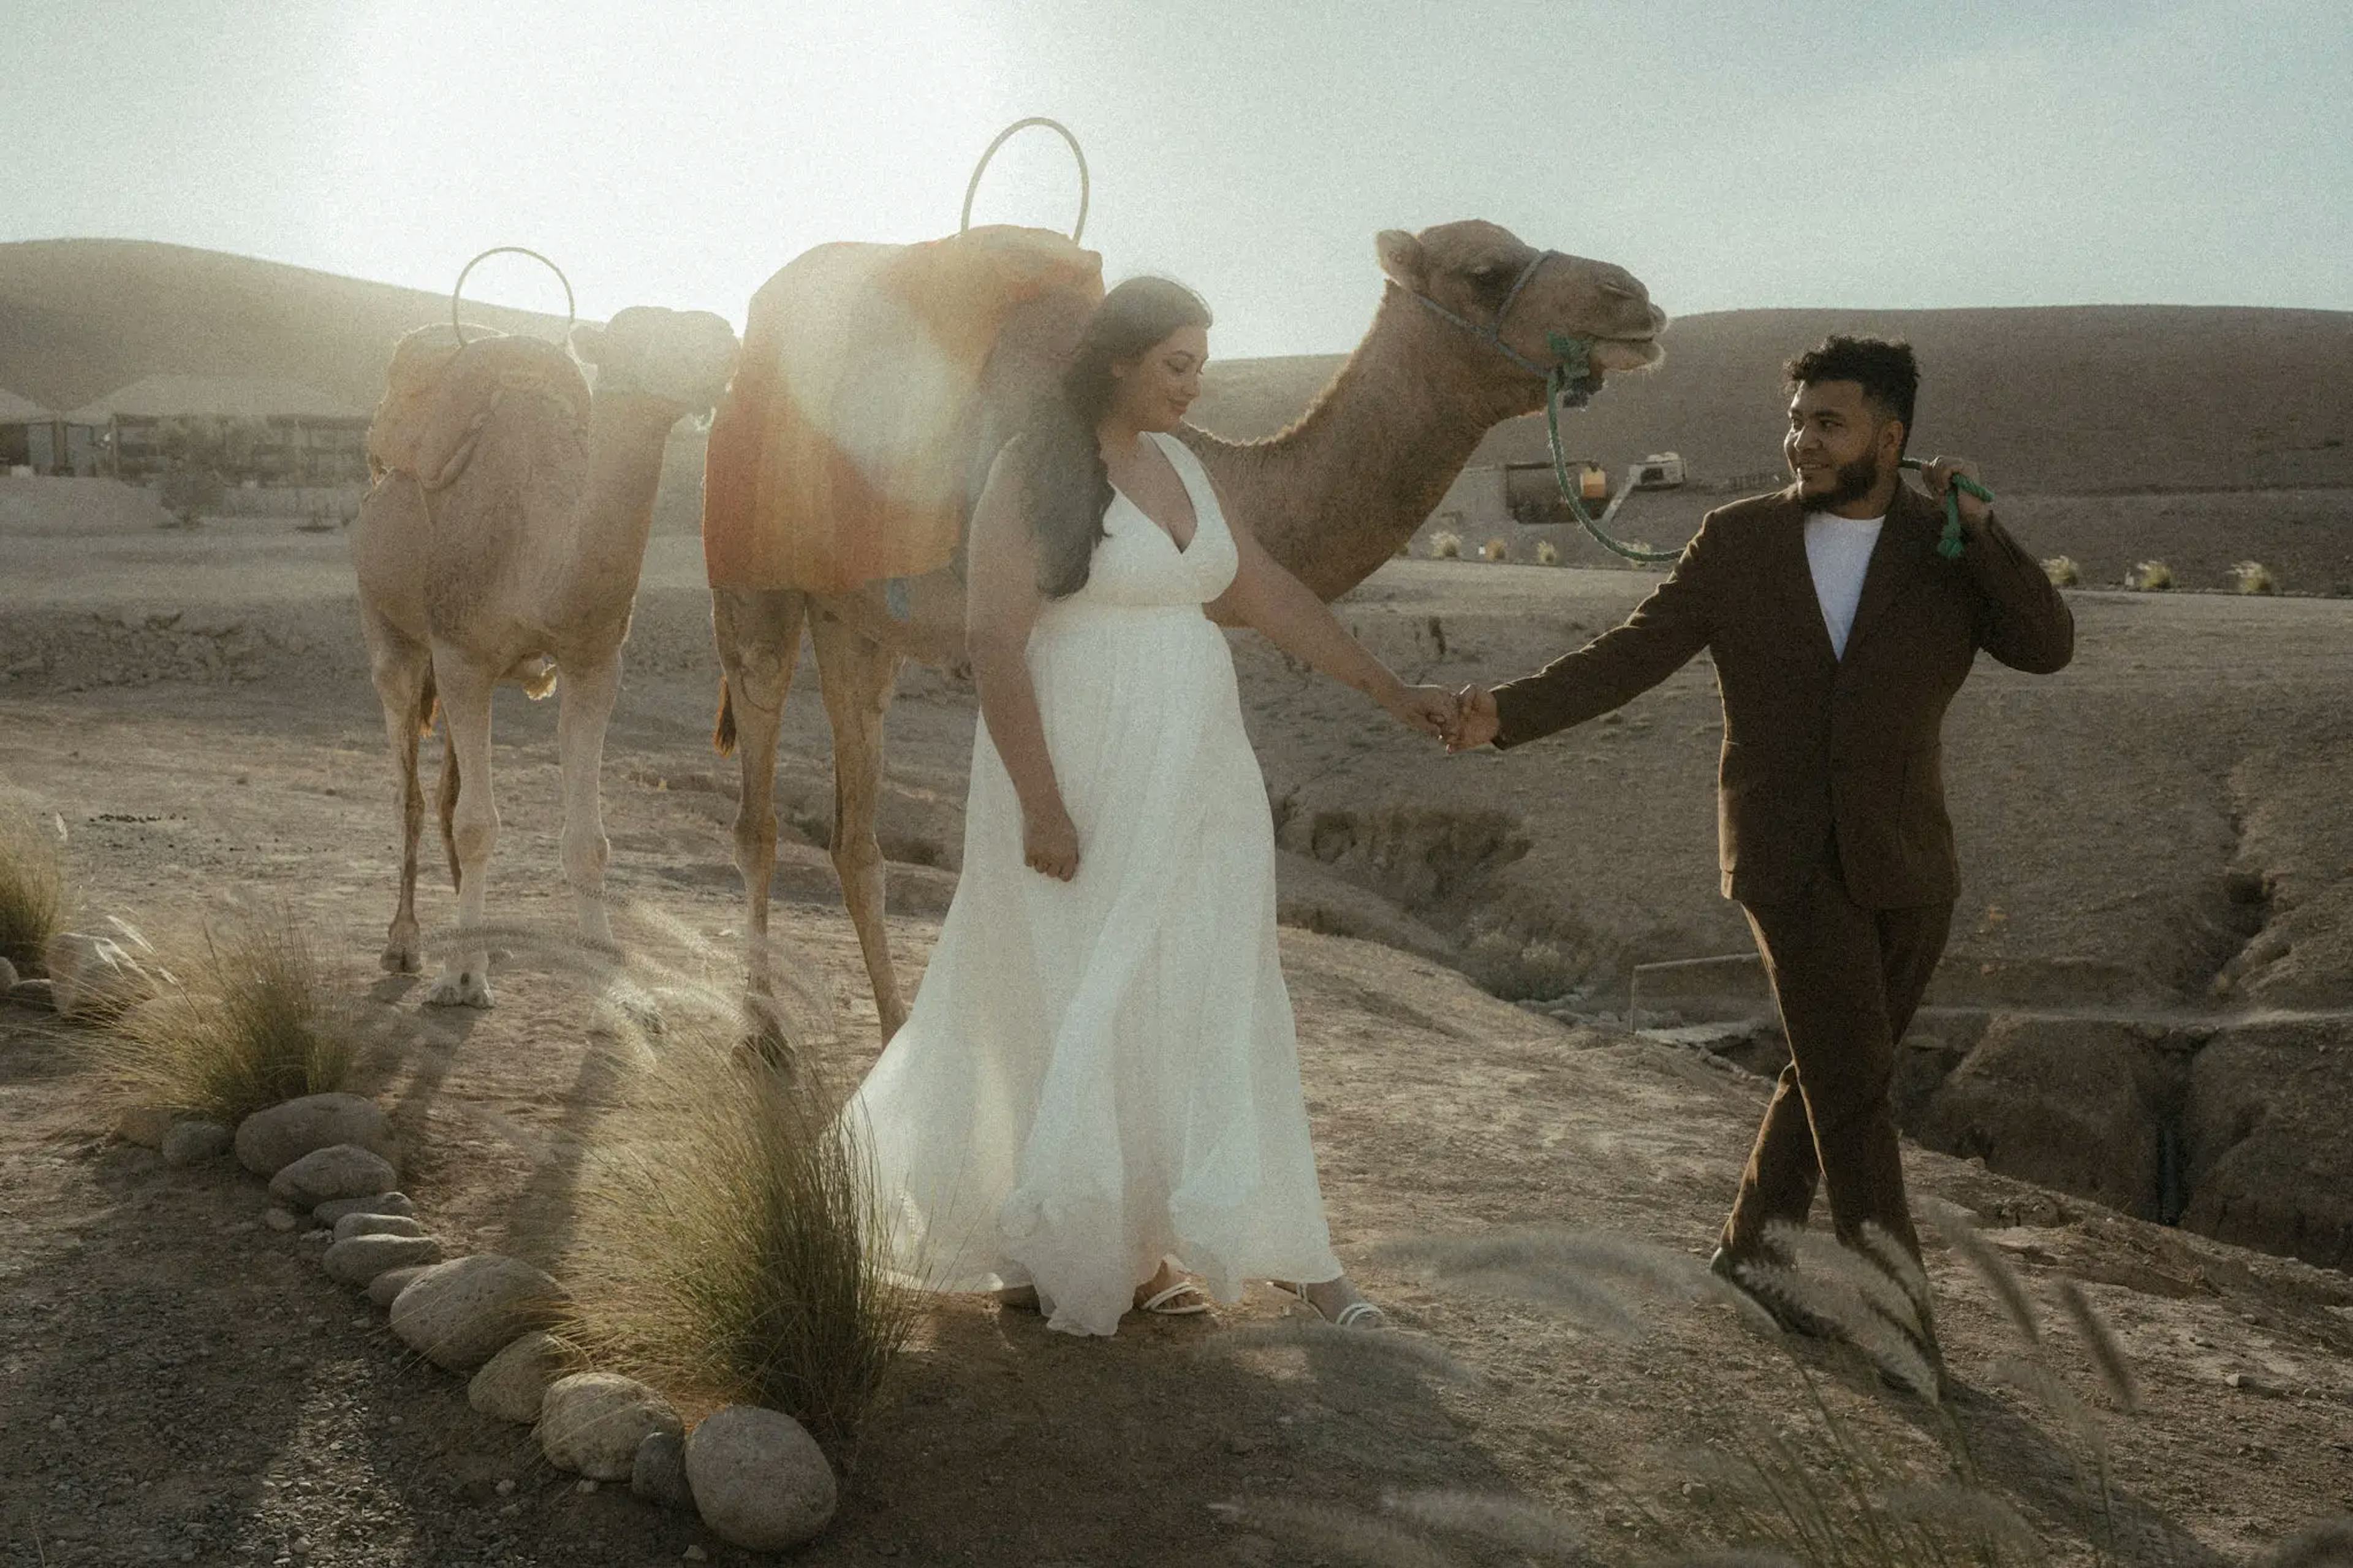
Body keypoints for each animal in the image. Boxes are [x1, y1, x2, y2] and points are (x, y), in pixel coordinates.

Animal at [353, 306, 738, 1002]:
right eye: (639, 336)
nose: (727, 346)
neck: (535, 551)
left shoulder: (593, 663)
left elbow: (588, 840)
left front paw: (615, 982)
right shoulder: (461, 655)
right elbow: (477, 825)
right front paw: (459, 977)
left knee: (450, 790)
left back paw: (480, 936)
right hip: (387, 624)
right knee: (411, 792)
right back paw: (406, 944)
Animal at [706, 214, 1665, 1031]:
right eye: (1485, 270)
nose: (1635, 299)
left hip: (859, 616)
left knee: (854, 831)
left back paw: (891, 1030)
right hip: (754, 578)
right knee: (758, 805)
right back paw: (761, 1031)